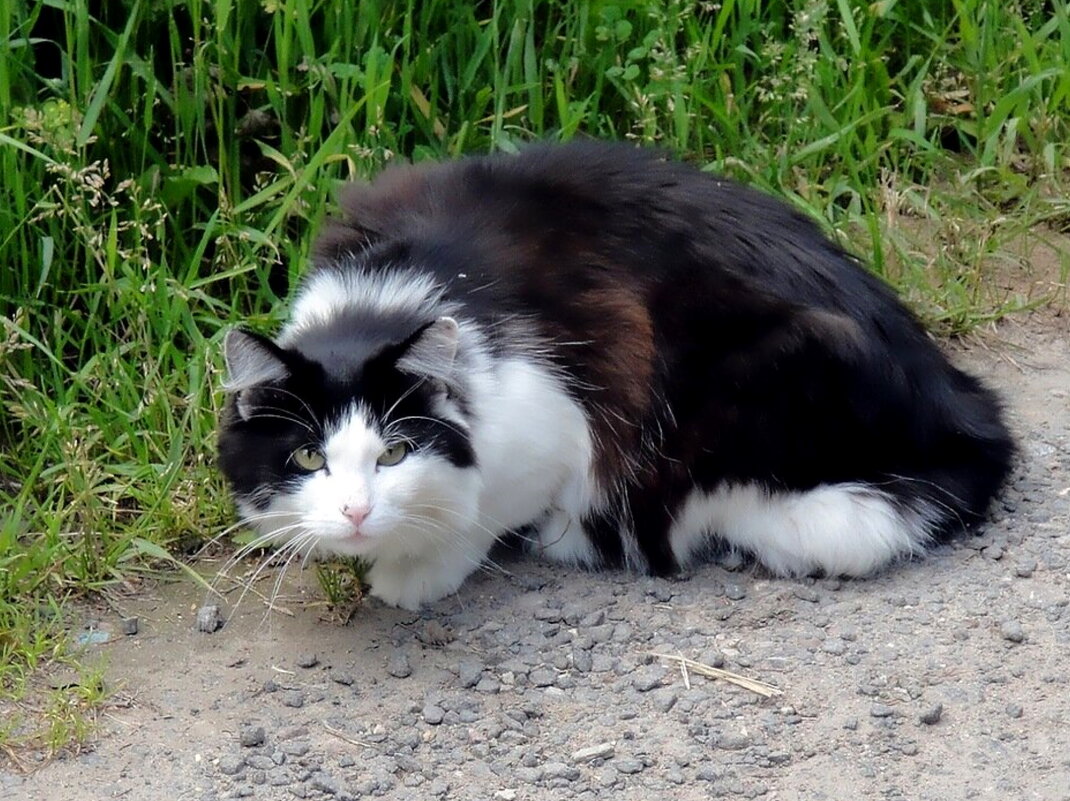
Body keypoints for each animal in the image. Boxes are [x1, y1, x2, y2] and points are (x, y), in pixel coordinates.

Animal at [215, 140, 1010, 607]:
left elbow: (487, 508)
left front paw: (415, 572)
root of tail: (967, 409)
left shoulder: (558, 415)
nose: (354, 513)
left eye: (395, 453)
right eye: (307, 458)